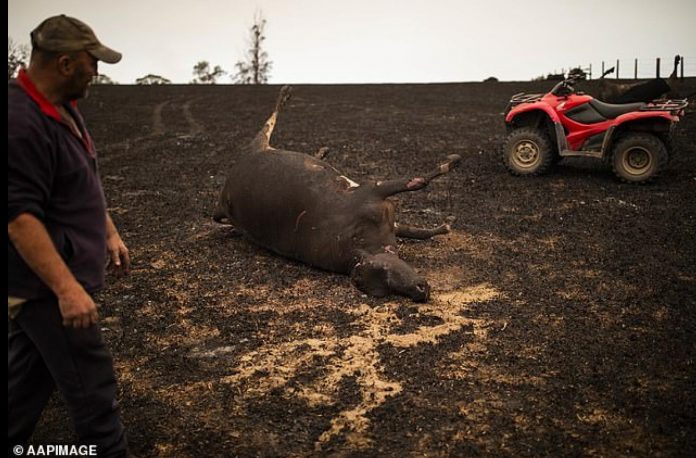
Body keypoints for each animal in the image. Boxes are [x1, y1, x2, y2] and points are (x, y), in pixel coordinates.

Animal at [215, 86, 460, 302]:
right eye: (386, 280)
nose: (420, 292)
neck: (357, 244)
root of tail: (225, 192)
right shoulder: (373, 191)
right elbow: (419, 182)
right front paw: (452, 162)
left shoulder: (388, 217)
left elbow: (418, 232)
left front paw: (445, 224)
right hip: (258, 142)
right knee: (270, 120)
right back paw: (285, 93)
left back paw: (320, 152)